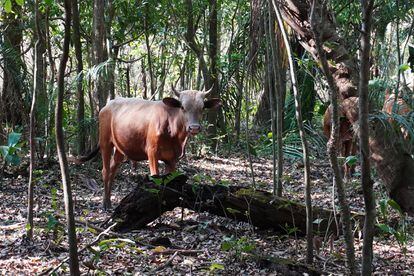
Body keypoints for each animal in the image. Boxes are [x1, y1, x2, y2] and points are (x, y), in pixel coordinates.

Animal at [77, 87, 220, 208]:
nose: (194, 128)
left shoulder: (173, 158)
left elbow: (170, 183)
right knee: (105, 171)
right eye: (183, 107)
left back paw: (108, 201)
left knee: (113, 169)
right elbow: (155, 178)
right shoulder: (152, 152)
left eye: (202, 108)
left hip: (120, 147)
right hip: (105, 142)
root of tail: (107, 105)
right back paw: (105, 204)